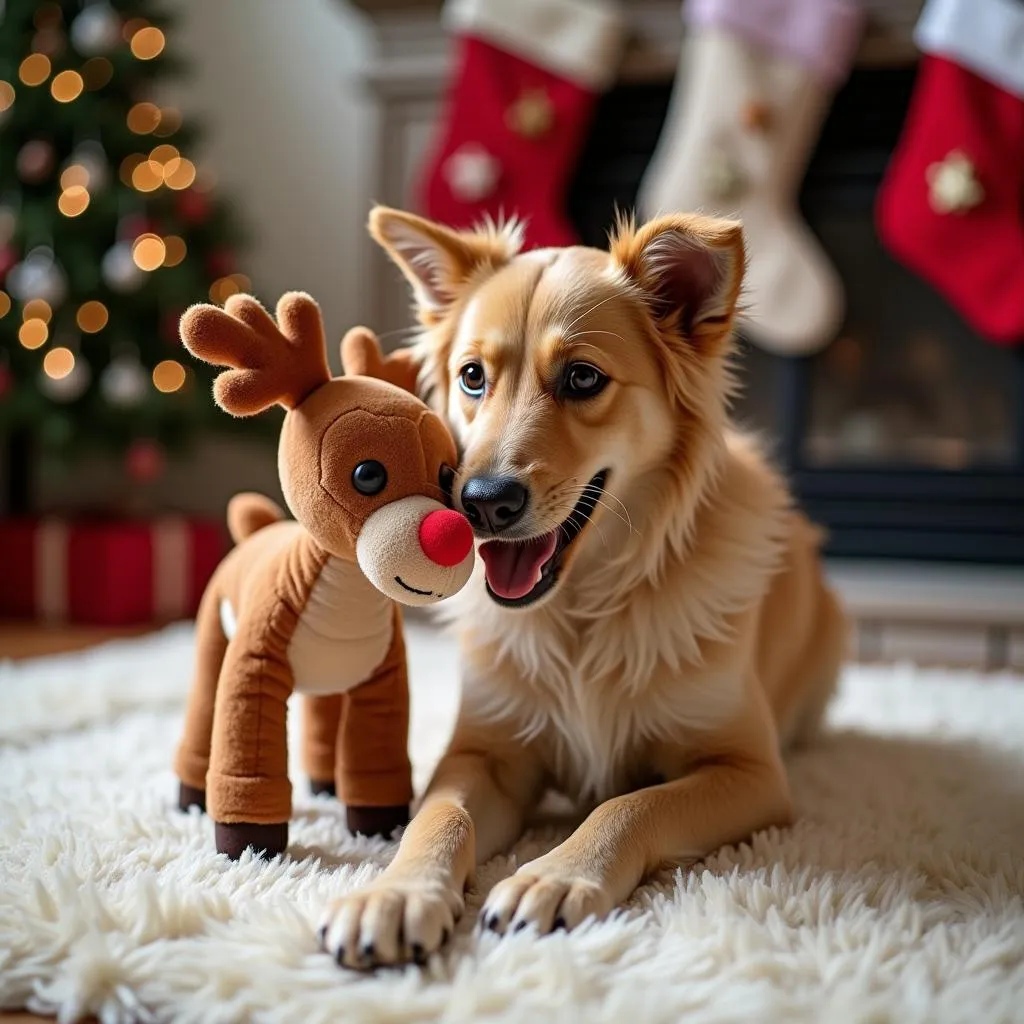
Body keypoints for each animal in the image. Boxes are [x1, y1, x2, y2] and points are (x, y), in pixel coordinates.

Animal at [319, 207, 847, 966]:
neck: (580, 609)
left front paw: (557, 875)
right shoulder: (482, 754)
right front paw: (395, 892)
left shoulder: (750, 772)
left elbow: (630, 804)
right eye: (472, 376)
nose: (481, 502)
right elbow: (436, 818)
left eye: (582, 378)